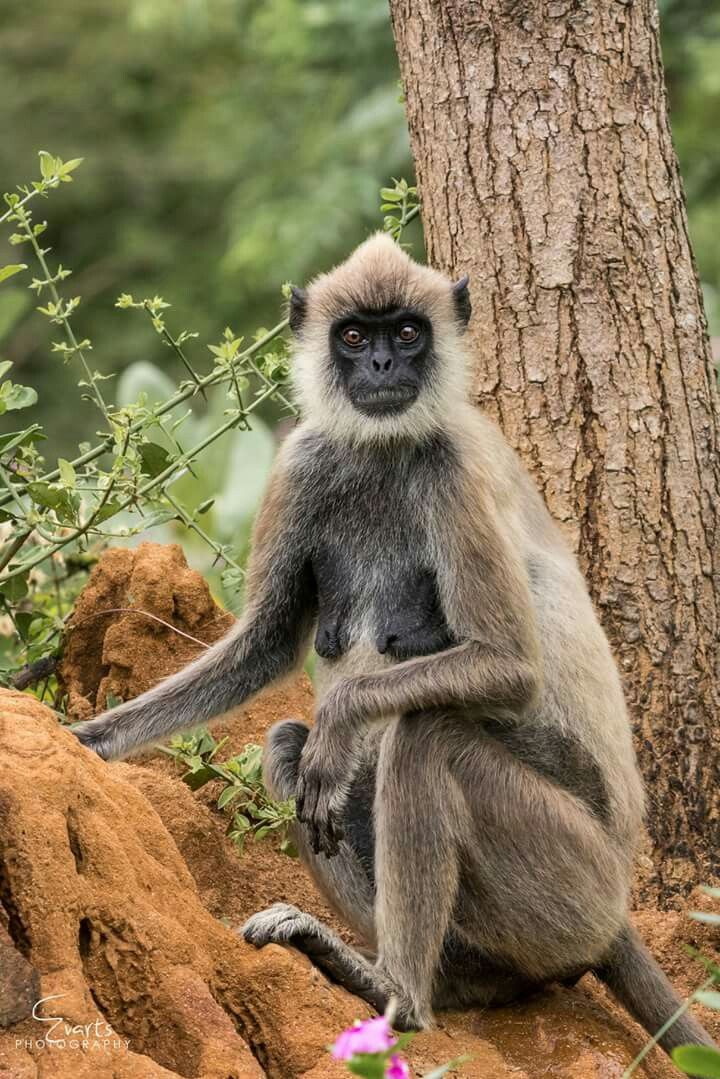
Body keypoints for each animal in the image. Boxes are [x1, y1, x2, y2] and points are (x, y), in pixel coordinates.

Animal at [71, 233, 715, 1066]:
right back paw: (440, 981)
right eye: (354, 336)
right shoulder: (302, 459)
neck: (382, 449)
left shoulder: (455, 469)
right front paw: (83, 739)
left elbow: (509, 668)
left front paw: (344, 715)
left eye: (407, 332)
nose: (381, 365)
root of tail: (617, 913)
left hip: (575, 874)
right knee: (289, 742)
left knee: (423, 735)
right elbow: (264, 646)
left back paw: (398, 993)